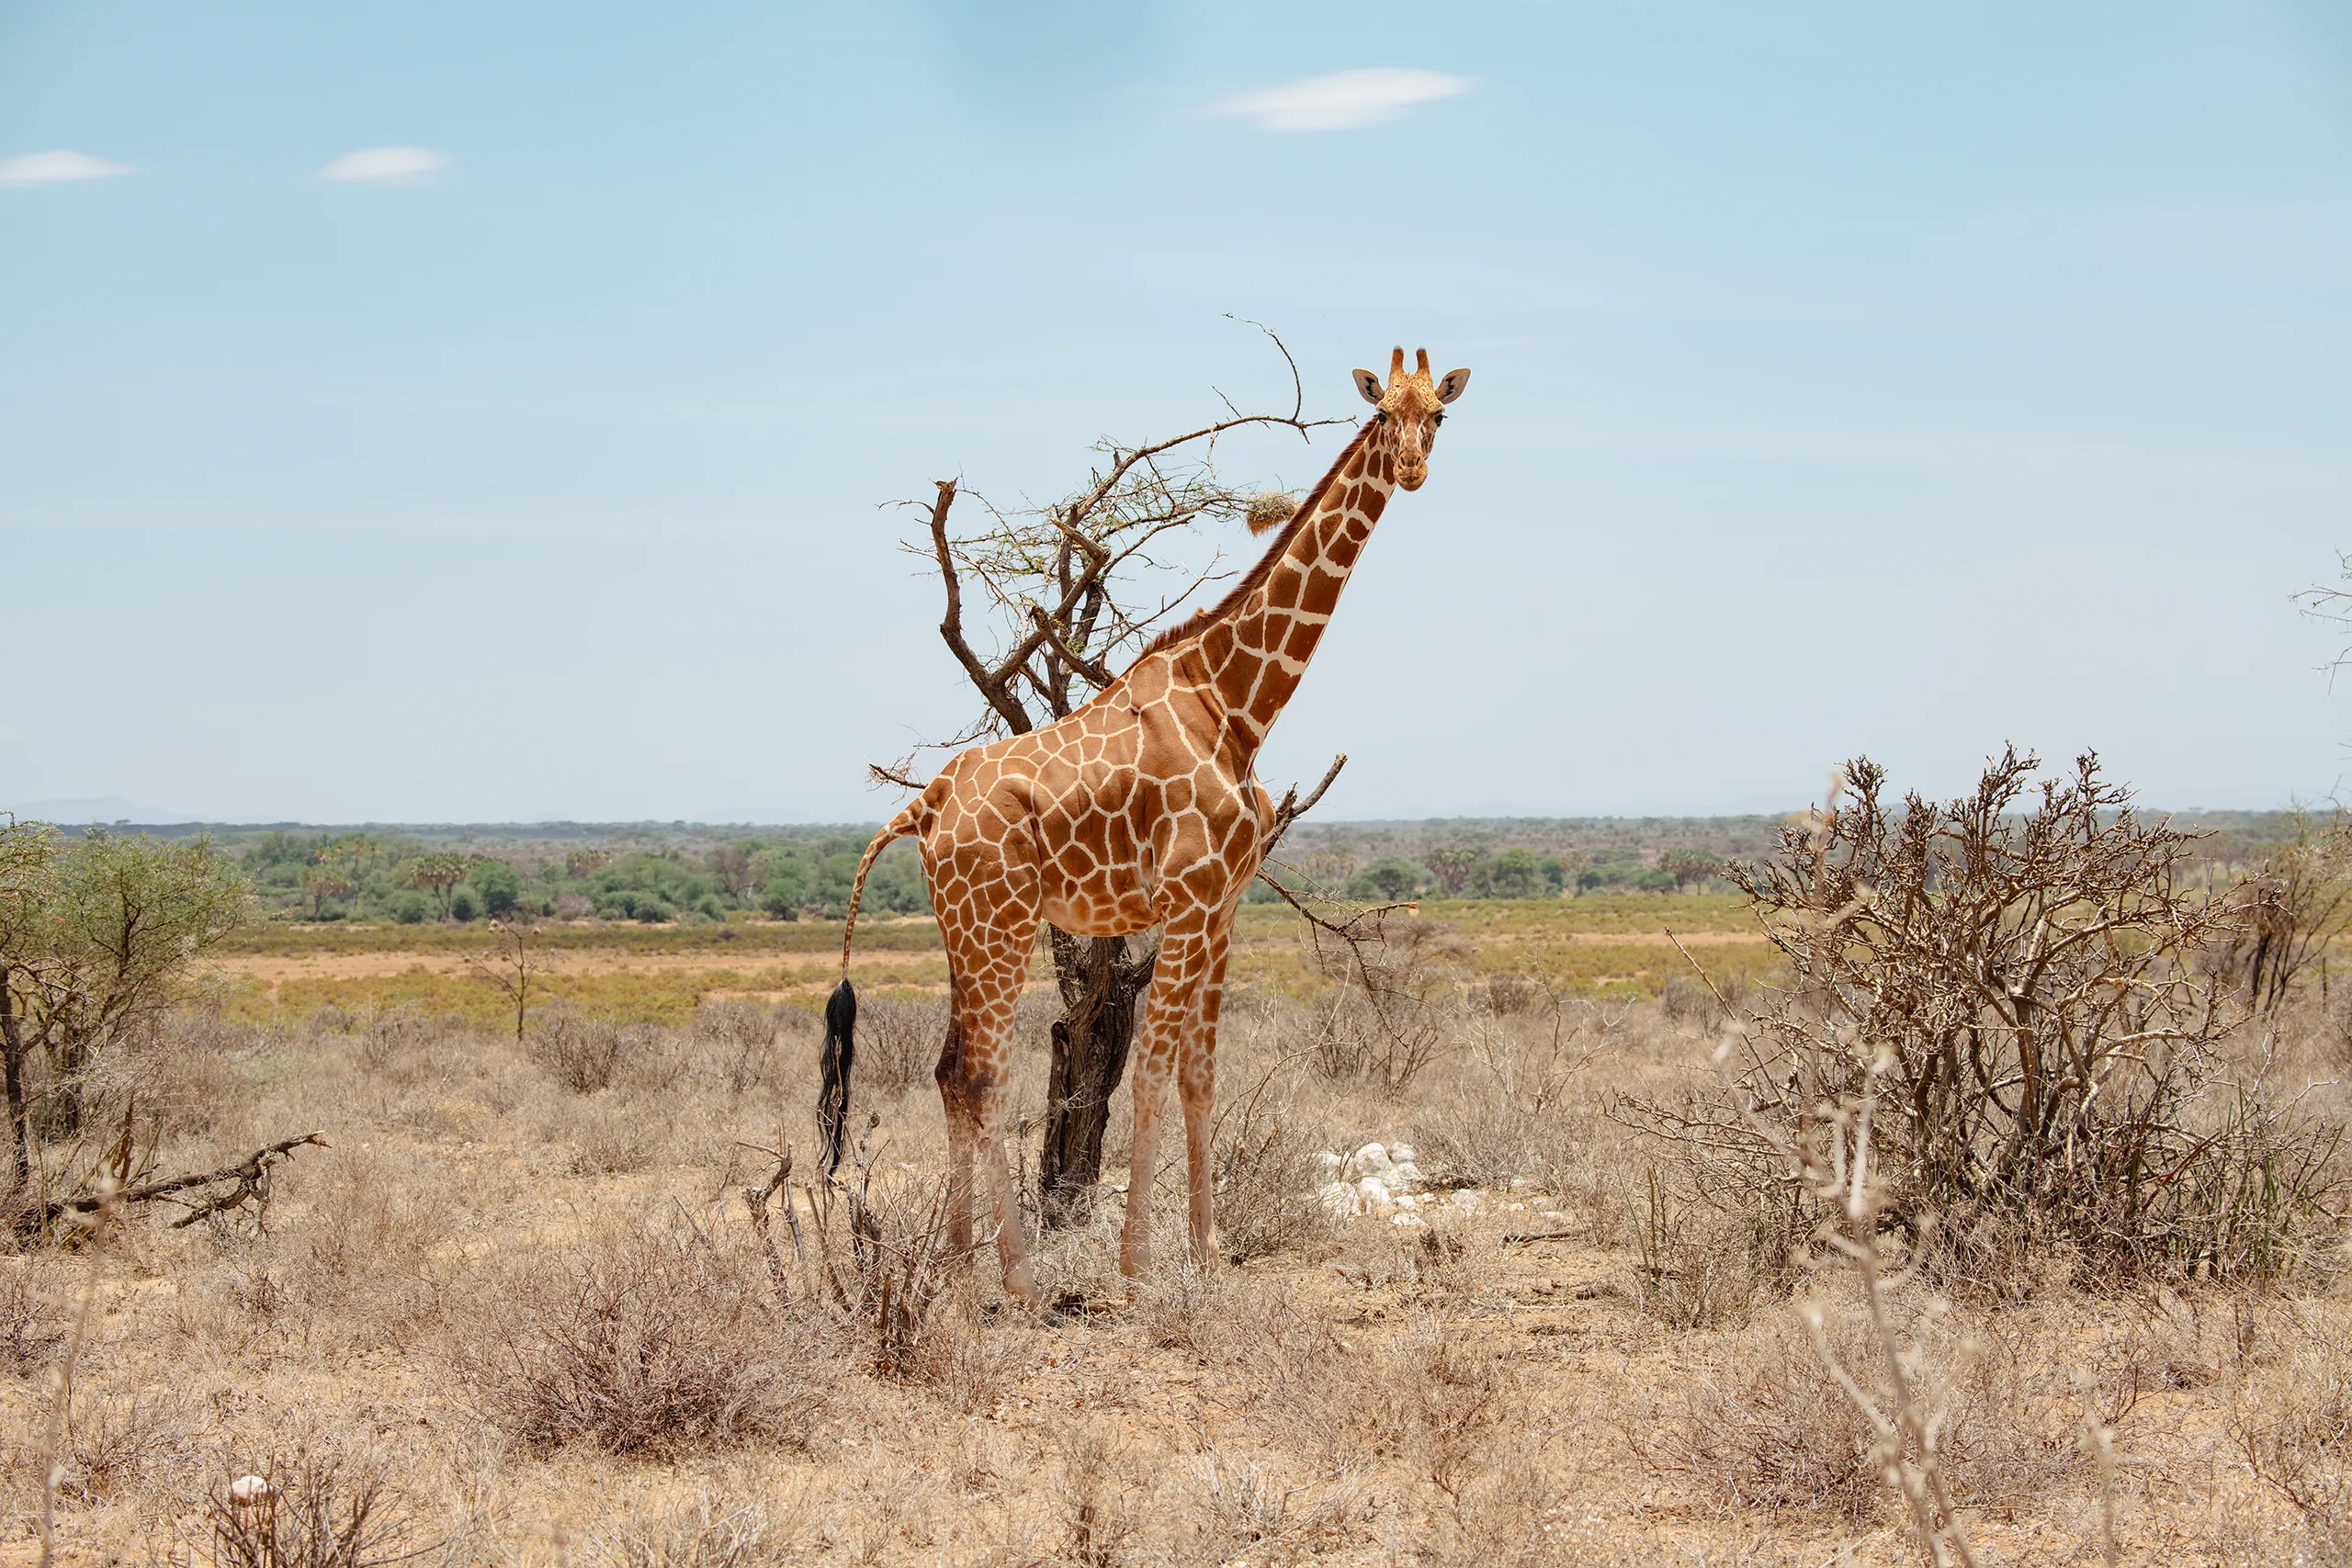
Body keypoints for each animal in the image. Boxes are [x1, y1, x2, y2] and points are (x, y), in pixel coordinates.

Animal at [832, 348, 1471, 1304]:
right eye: (1381, 411)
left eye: (1439, 414)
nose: (1412, 467)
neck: (1237, 703)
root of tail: (926, 803)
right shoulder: (1186, 899)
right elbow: (1152, 1075)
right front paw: (1137, 1267)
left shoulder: (1224, 908)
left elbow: (1200, 1076)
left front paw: (1208, 1254)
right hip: (1000, 924)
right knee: (982, 1076)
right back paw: (1017, 1279)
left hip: (962, 927)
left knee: (949, 1072)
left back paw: (957, 1266)